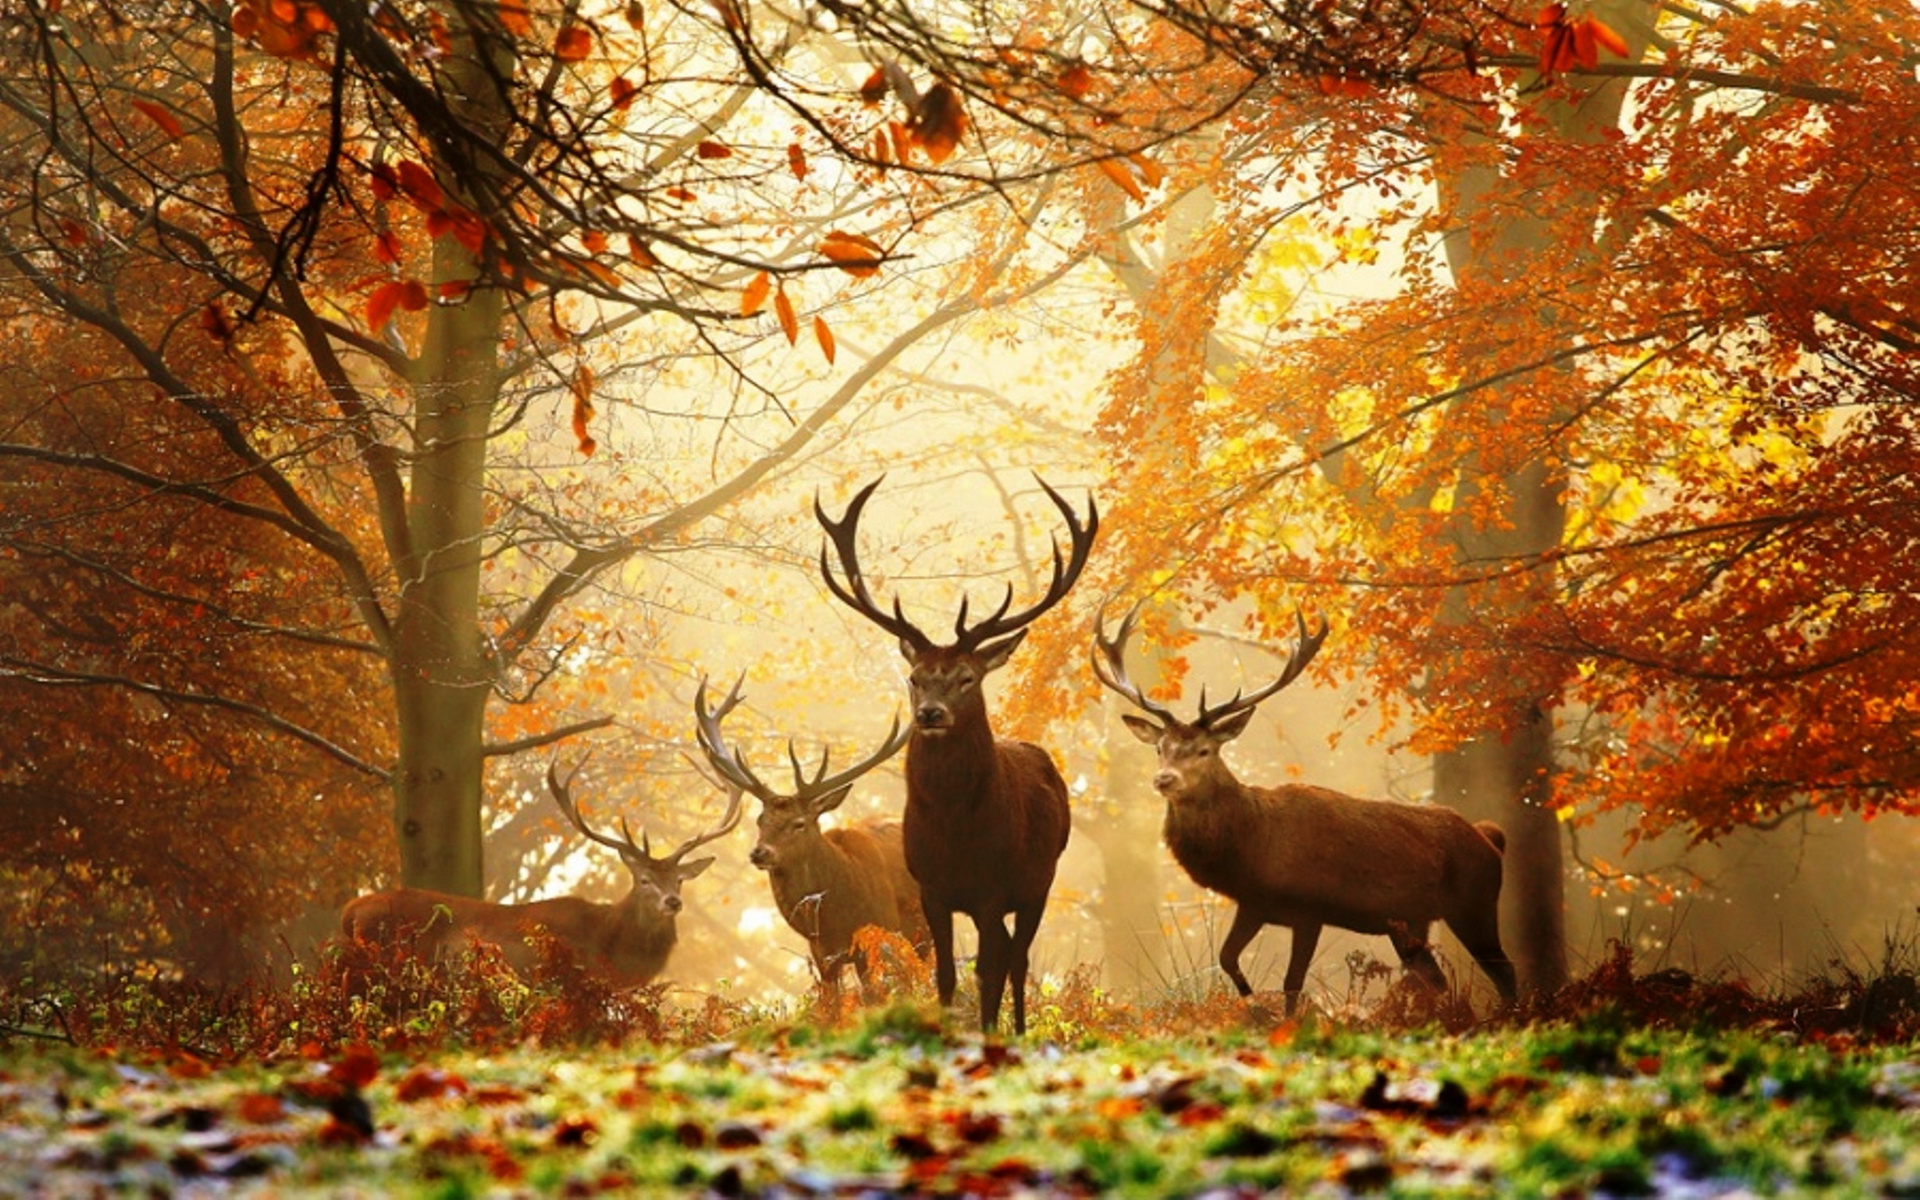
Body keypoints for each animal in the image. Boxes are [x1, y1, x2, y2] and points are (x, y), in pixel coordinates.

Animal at [695, 675, 933, 1013]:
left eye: (799, 823)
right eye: (760, 820)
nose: (759, 852)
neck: (836, 916)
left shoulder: (878, 934)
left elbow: (876, 997)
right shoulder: (822, 953)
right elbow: (831, 1004)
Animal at [817, 472, 1105, 1036]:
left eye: (967, 677)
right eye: (915, 677)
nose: (931, 713)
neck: (956, 834)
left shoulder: (994, 890)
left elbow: (989, 972)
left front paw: (989, 1035)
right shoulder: (932, 890)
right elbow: (947, 974)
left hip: (1040, 880)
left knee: (1017, 959)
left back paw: (1019, 1031)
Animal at [1098, 606, 1512, 1013]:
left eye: (1204, 750)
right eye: (1159, 748)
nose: (1164, 779)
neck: (1252, 848)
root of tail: (1490, 839)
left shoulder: (1310, 909)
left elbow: (1292, 983)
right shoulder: (1253, 904)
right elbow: (1227, 958)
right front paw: (1253, 1007)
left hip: (1475, 902)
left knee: (1505, 972)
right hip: (1411, 922)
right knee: (1437, 981)